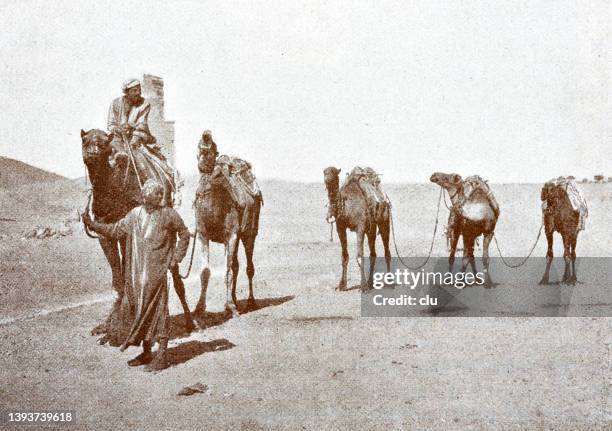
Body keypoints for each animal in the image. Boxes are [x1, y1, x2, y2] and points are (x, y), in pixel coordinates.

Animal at [79, 128, 194, 344]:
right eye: (86, 141)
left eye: (103, 144)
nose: (92, 154)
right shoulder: (106, 232)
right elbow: (118, 277)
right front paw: (108, 327)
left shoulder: (128, 230)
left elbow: (128, 274)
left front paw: (121, 328)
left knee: (175, 272)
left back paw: (191, 321)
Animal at [192, 132, 262, 318]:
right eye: (199, 146)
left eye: (213, 147)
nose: (206, 135)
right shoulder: (203, 234)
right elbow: (205, 271)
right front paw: (199, 308)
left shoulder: (231, 235)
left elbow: (227, 270)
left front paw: (230, 306)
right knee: (236, 265)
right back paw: (235, 300)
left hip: (249, 233)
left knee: (248, 266)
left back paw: (249, 302)